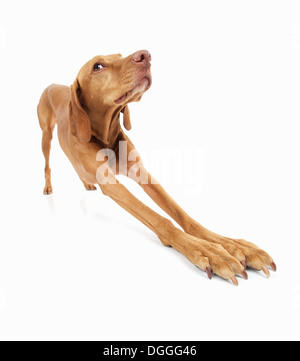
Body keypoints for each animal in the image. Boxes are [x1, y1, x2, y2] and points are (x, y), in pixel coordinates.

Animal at [37, 49, 276, 284]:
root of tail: (52, 84)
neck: (105, 134)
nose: (145, 55)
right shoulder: (110, 183)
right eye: (98, 66)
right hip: (45, 136)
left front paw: (232, 245)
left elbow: (183, 216)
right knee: (47, 164)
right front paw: (206, 251)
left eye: (119, 55)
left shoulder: (143, 174)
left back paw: (86, 183)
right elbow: (160, 219)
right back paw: (48, 187)